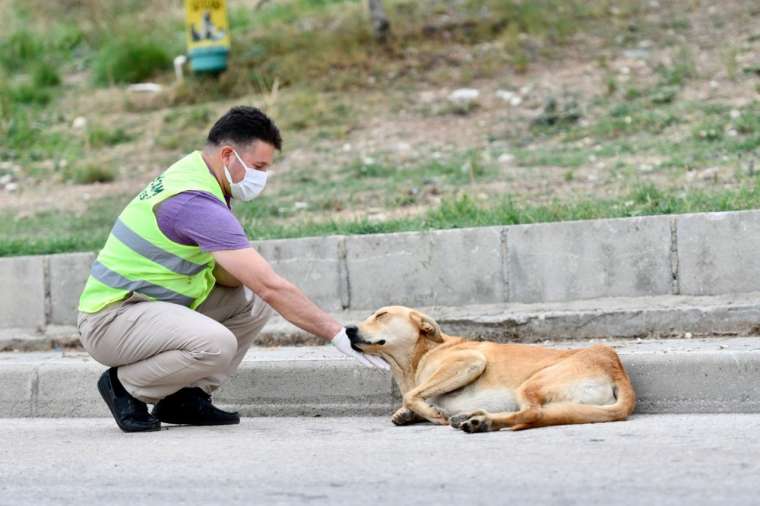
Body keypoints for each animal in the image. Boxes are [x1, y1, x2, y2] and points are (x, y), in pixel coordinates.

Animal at [346, 306, 636, 432]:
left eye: (381, 315)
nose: (347, 329)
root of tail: (614, 365)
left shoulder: (469, 361)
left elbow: (411, 395)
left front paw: (429, 412)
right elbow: (409, 401)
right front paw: (408, 414)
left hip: (531, 384)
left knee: (532, 414)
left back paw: (481, 422)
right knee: (539, 415)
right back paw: (476, 419)